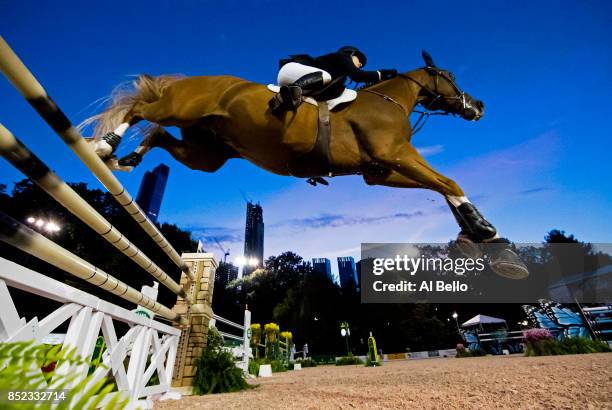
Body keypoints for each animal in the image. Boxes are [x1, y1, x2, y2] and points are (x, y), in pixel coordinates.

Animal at [83, 51, 528, 280]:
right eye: (449, 76)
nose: (479, 107)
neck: (390, 101)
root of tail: (194, 80)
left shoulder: (380, 172)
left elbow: (441, 187)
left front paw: (481, 239)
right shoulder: (396, 155)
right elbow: (449, 182)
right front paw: (486, 232)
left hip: (205, 155)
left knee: (158, 134)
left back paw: (126, 158)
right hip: (181, 109)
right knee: (142, 110)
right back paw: (104, 146)